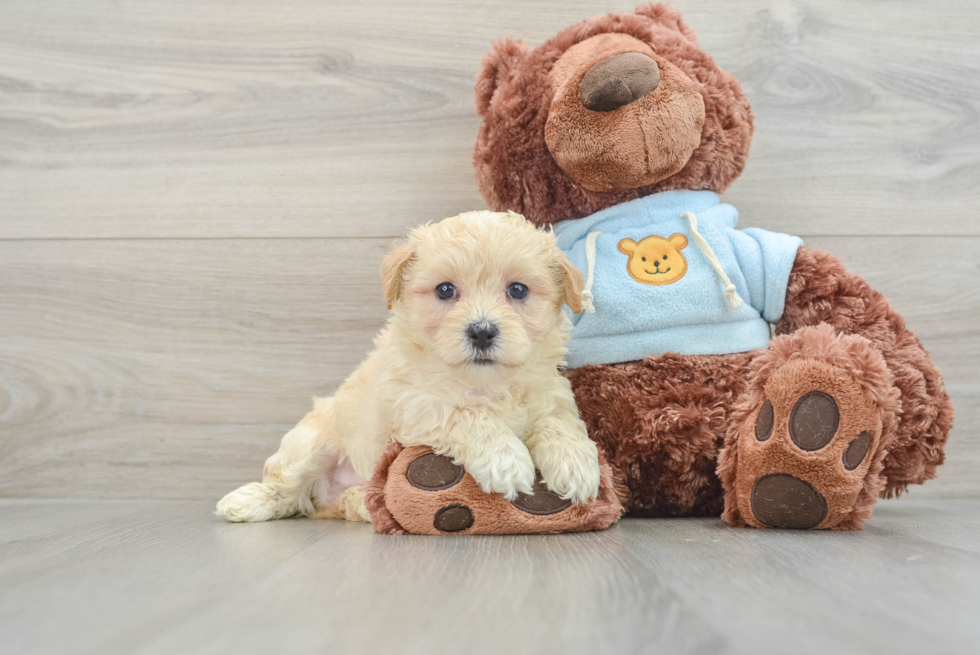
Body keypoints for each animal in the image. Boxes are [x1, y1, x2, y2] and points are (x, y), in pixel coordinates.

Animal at [218, 213, 600, 524]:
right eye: (445, 290)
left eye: (518, 290)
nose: (481, 331)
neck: (484, 383)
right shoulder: (416, 402)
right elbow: (468, 416)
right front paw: (505, 459)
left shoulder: (550, 393)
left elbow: (560, 423)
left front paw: (576, 463)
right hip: (310, 442)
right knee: (287, 488)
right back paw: (246, 502)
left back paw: (363, 502)